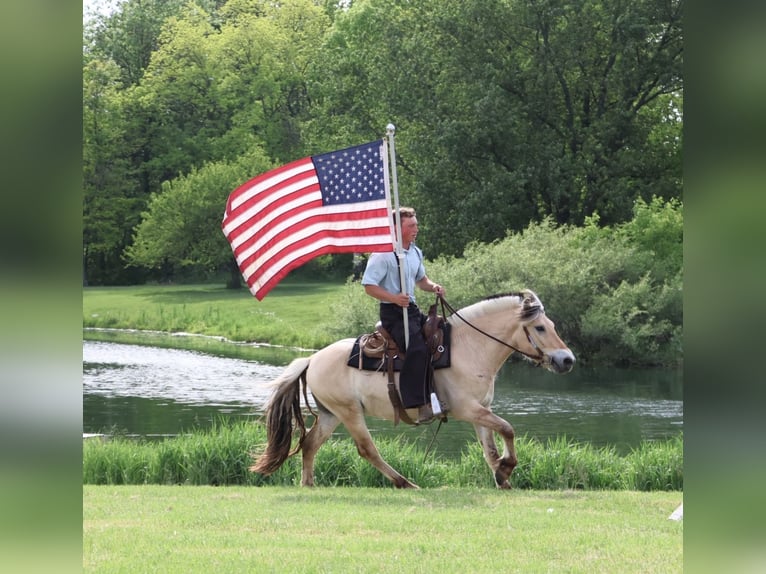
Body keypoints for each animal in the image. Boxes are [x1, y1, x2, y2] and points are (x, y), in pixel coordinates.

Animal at [251, 289, 575, 489]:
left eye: (551, 325)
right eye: (540, 328)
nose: (567, 360)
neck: (469, 348)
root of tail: (312, 359)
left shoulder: (480, 410)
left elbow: (491, 447)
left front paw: (501, 476)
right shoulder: (466, 408)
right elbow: (508, 428)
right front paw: (506, 469)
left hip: (332, 414)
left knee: (309, 444)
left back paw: (309, 484)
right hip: (350, 412)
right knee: (367, 449)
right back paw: (405, 482)